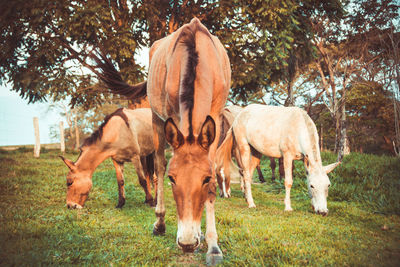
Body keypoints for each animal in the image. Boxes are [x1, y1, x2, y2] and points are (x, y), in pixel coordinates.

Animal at [94, 17, 230, 264]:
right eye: (173, 179)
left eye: (205, 179)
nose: (187, 243)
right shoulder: (169, 119)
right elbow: (160, 169)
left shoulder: (215, 118)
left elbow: (214, 184)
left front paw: (213, 245)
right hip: (157, 120)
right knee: (157, 164)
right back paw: (160, 222)